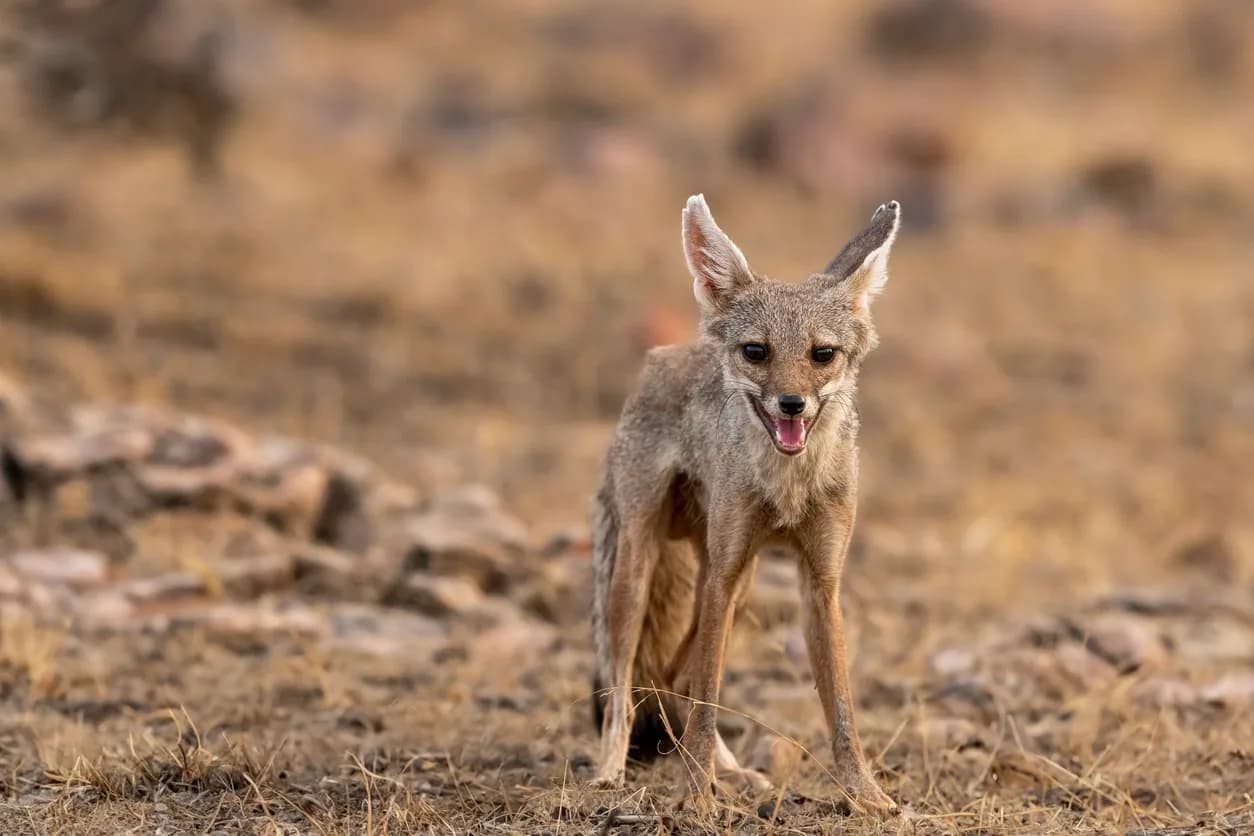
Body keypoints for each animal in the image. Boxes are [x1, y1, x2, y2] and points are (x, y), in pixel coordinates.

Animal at [590, 194, 901, 813]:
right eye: (756, 352)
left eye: (822, 354)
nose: (792, 403)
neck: (787, 487)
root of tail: (666, 353)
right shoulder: (723, 573)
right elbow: (708, 698)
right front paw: (695, 797)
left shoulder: (819, 582)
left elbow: (842, 712)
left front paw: (865, 794)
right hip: (643, 570)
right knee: (629, 685)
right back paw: (613, 770)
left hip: (743, 581)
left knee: (675, 676)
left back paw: (731, 772)